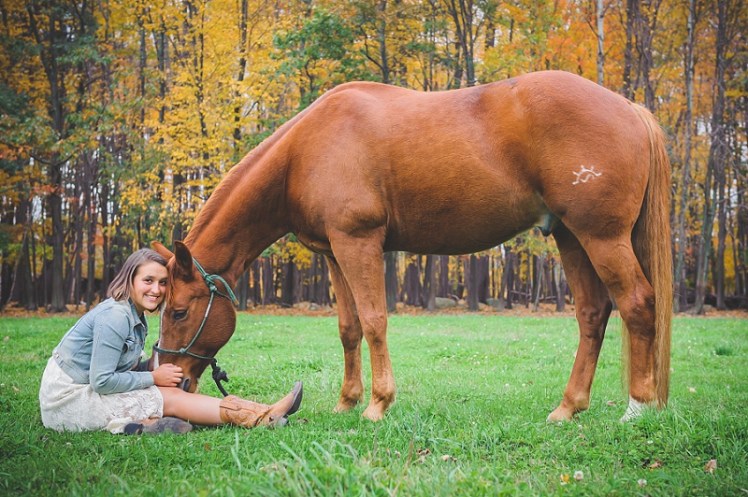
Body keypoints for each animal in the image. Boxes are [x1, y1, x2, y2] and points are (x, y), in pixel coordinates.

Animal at [152, 70, 672, 422]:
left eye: (178, 311)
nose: (172, 380)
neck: (305, 151)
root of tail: (631, 109)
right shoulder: (334, 252)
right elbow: (349, 328)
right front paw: (346, 402)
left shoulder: (359, 243)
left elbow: (375, 321)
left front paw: (377, 405)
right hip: (569, 236)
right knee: (593, 314)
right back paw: (567, 408)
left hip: (601, 238)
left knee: (637, 304)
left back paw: (637, 407)